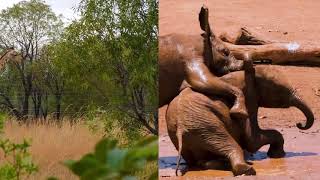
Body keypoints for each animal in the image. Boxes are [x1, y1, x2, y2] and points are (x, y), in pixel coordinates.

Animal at [166, 65, 314, 176]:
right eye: (281, 90)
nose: (299, 124)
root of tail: (180, 129)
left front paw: (276, 155)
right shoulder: (249, 98)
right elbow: (252, 140)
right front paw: (277, 155)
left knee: (203, 160)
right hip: (205, 125)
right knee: (230, 145)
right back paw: (247, 169)